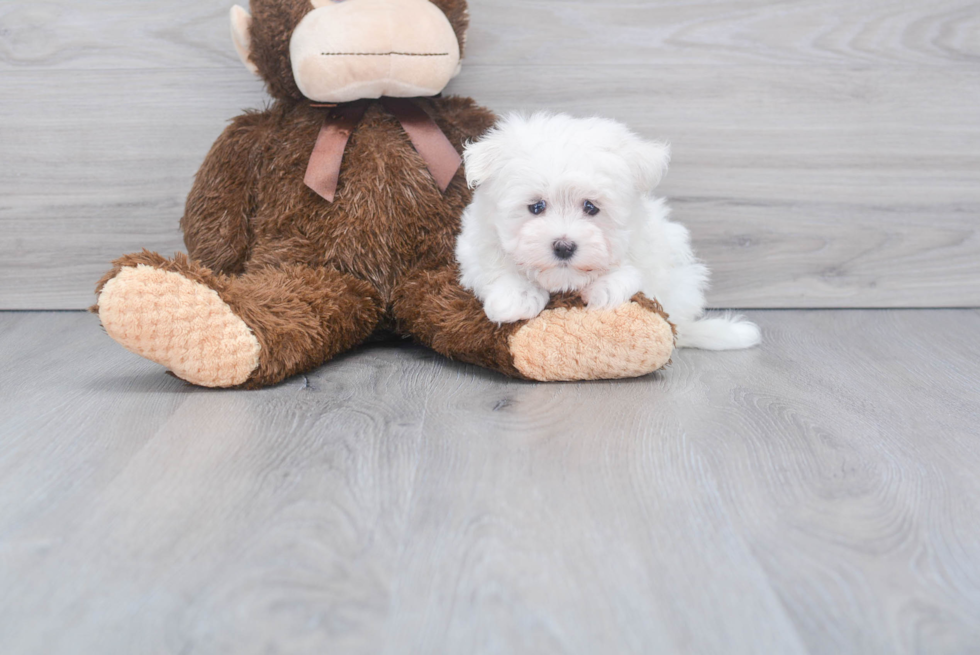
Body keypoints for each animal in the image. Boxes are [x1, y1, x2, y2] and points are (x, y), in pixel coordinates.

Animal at [456, 113, 760, 352]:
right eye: (536, 207)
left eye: (591, 207)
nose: (564, 246)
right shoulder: (474, 245)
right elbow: (494, 264)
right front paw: (517, 296)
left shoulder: (653, 249)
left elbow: (636, 272)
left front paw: (607, 285)